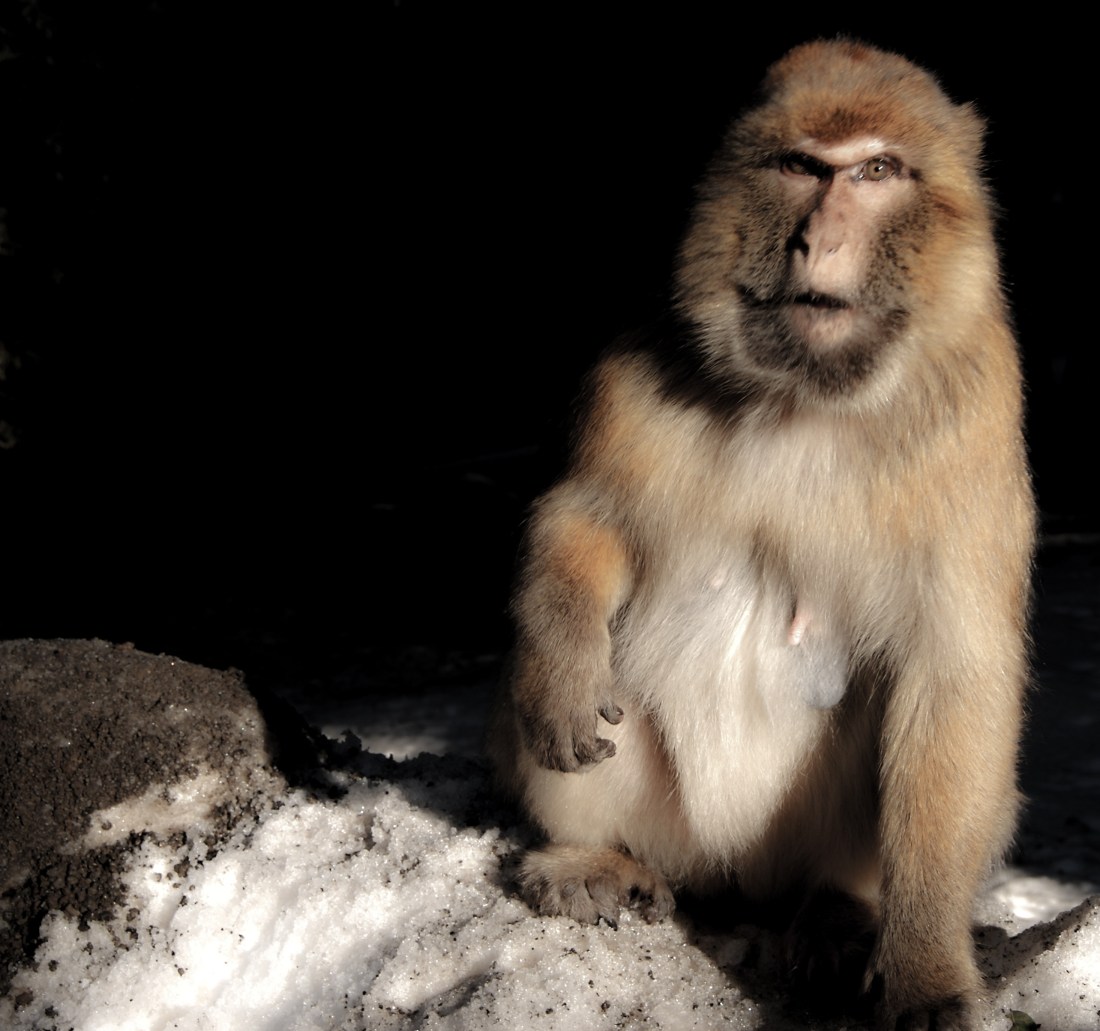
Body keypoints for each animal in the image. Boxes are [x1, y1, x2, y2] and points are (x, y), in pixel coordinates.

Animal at [488, 39, 1035, 1031]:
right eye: (799, 167)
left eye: (876, 171)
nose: (818, 240)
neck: (804, 400)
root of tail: (736, 879)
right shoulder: (636, 360)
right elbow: (583, 518)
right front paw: (560, 667)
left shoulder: (978, 411)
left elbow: (954, 676)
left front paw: (928, 973)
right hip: (667, 825)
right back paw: (588, 857)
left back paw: (839, 913)